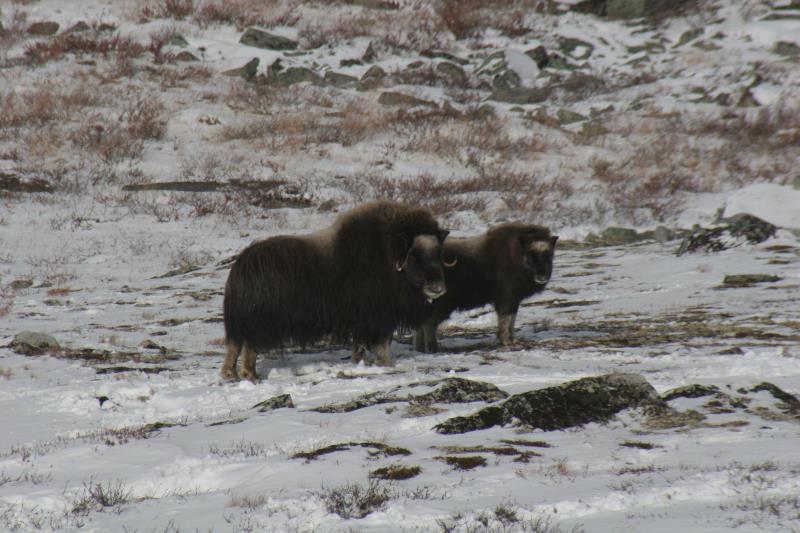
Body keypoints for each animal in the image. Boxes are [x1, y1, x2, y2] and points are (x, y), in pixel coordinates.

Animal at [223, 198, 450, 378]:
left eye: (438, 253)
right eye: (414, 255)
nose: (438, 288)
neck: (388, 254)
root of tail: (240, 266)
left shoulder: (364, 320)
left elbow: (360, 344)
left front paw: (360, 363)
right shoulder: (379, 316)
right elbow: (381, 343)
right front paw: (385, 365)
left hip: (240, 323)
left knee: (234, 346)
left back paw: (230, 375)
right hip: (260, 323)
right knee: (249, 347)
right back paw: (250, 376)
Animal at [412, 222, 556, 352]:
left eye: (548, 256)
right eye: (531, 256)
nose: (542, 277)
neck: (516, 257)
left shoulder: (514, 300)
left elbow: (512, 319)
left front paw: (512, 340)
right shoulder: (507, 297)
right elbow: (506, 318)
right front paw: (506, 342)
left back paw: (420, 347)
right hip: (442, 303)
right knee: (430, 323)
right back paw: (433, 348)